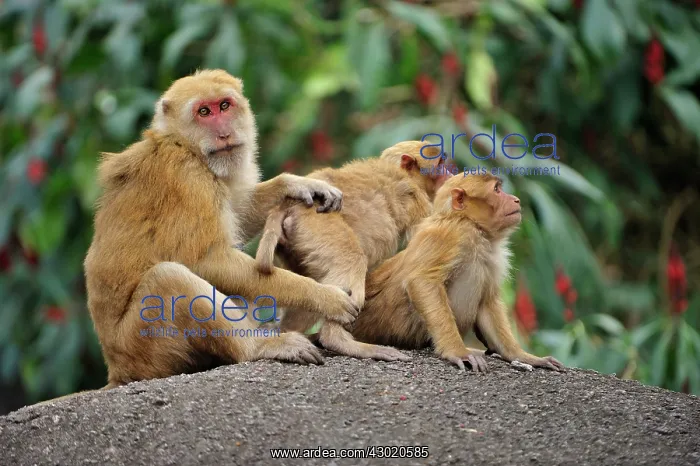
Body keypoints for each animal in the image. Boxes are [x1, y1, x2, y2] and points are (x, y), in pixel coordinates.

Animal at [83, 69, 360, 388]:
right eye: (204, 112)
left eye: (224, 106)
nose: (224, 134)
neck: (185, 146)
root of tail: (117, 368)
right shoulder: (188, 179)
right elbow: (209, 260)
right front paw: (325, 297)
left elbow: (237, 211)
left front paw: (297, 184)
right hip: (145, 345)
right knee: (169, 277)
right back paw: (258, 347)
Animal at [254, 140, 453, 361]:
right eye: (440, 163)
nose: (449, 172)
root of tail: (289, 206)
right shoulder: (416, 199)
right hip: (318, 224)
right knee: (352, 260)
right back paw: (340, 341)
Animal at [351, 173, 565, 372]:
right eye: (497, 190)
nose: (516, 199)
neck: (472, 225)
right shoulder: (453, 236)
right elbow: (422, 281)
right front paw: (457, 351)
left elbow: (487, 301)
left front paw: (521, 356)